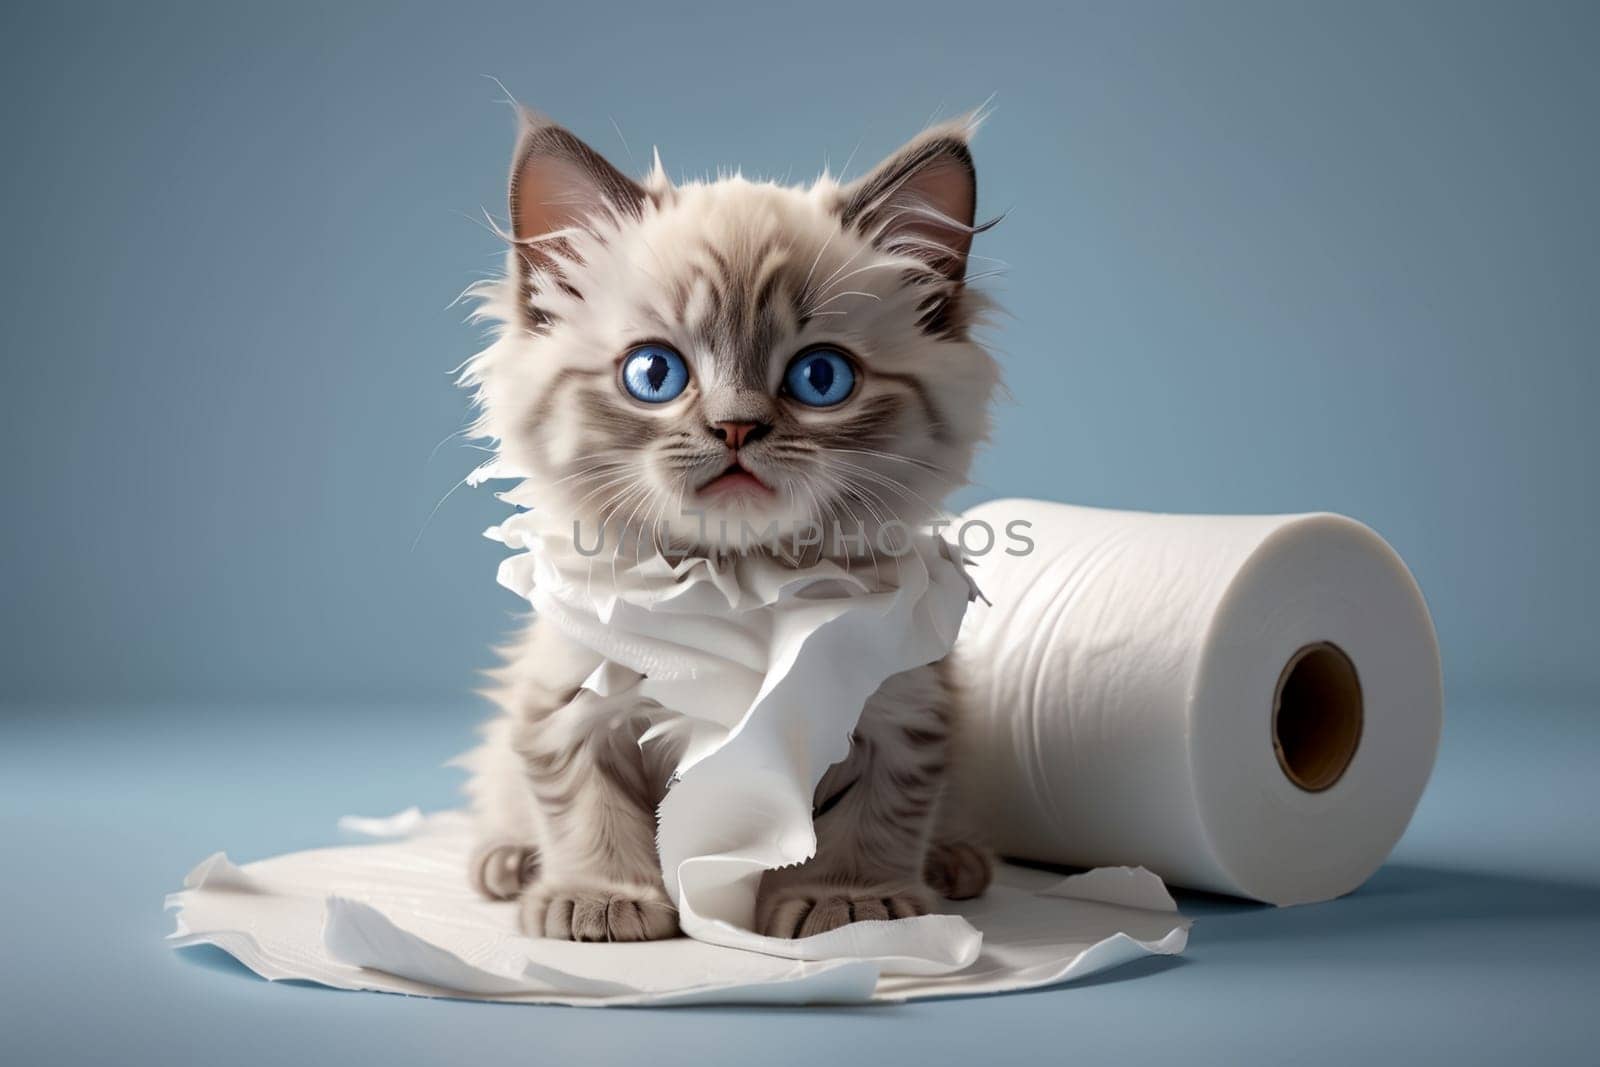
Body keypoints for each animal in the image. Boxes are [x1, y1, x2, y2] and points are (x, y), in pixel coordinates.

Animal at [457, 110, 998, 940]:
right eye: (654, 374)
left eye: (820, 377)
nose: (736, 426)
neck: (739, 586)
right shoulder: (567, 698)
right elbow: (586, 805)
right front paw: (602, 897)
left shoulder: (901, 711)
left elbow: (877, 815)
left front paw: (853, 901)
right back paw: (508, 861)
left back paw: (955, 861)